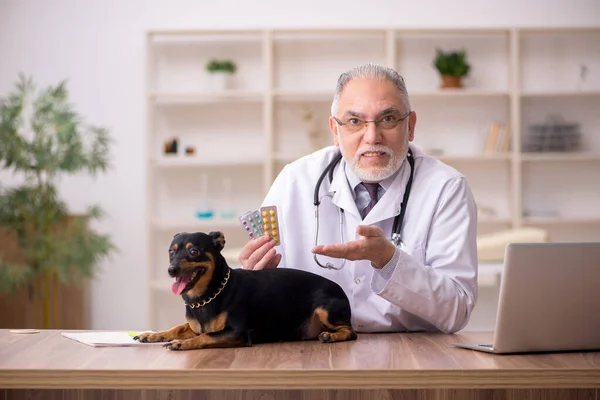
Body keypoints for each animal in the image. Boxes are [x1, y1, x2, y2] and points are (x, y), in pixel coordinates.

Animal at [135, 231, 356, 350]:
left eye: (193, 251)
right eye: (171, 252)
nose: (171, 269)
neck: (205, 298)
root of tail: (341, 291)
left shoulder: (237, 333)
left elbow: (205, 336)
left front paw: (182, 343)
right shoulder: (195, 325)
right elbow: (179, 328)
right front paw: (152, 335)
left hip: (324, 310)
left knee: (351, 332)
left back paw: (331, 336)